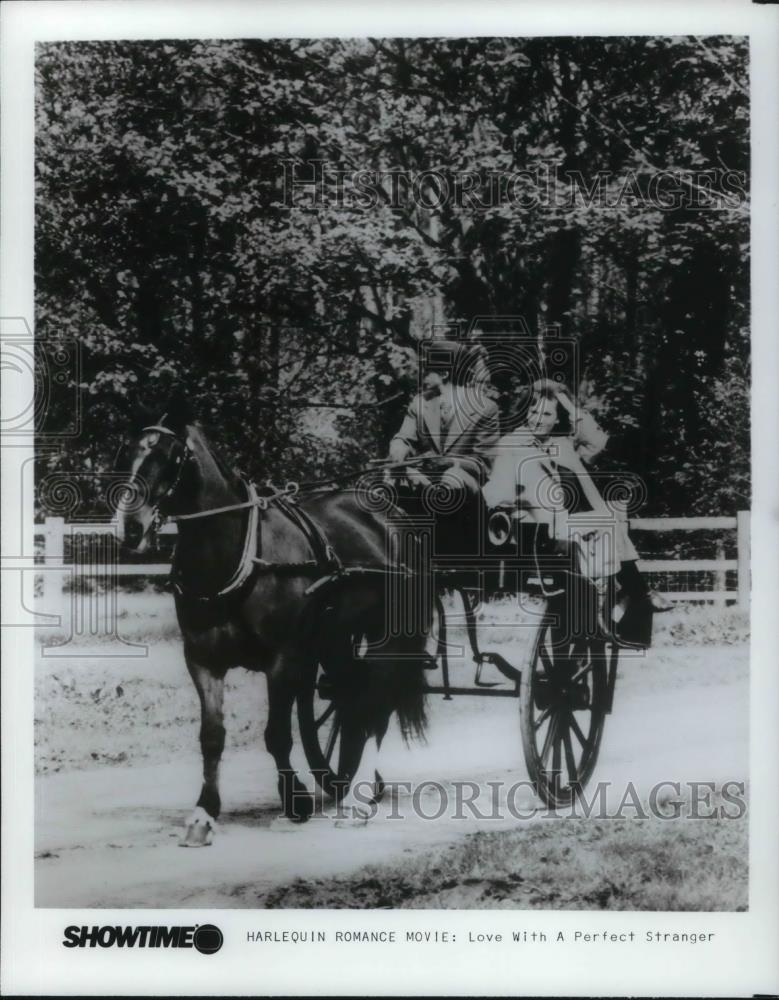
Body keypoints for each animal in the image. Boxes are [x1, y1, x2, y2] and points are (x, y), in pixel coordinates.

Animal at [116, 390, 432, 844]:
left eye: (169, 456)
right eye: (127, 450)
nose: (130, 529)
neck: (241, 554)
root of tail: (390, 516)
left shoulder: (283, 660)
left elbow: (277, 735)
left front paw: (293, 802)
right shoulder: (203, 661)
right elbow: (211, 737)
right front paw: (203, 813)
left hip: (388, 636)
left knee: (377, 702)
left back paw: (358, 798)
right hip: (337, 641)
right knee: (353, 699)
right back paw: (350, 784)